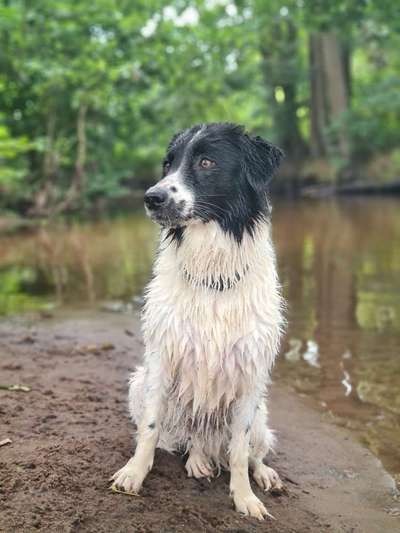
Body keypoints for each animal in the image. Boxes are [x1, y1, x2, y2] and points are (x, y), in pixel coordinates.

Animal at [111, 122, 284, 516]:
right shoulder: (162, 358)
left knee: (252, 449)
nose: (152, 197)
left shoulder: (250, 373)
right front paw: (134, 473)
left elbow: (239, 450)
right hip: (138, 383)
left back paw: (264, 473)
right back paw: (199, 459)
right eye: (168, 164)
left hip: (262, 411)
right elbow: (150, 429)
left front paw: (245, 497)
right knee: (192, 437)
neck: (212, 272)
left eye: (207, 162)